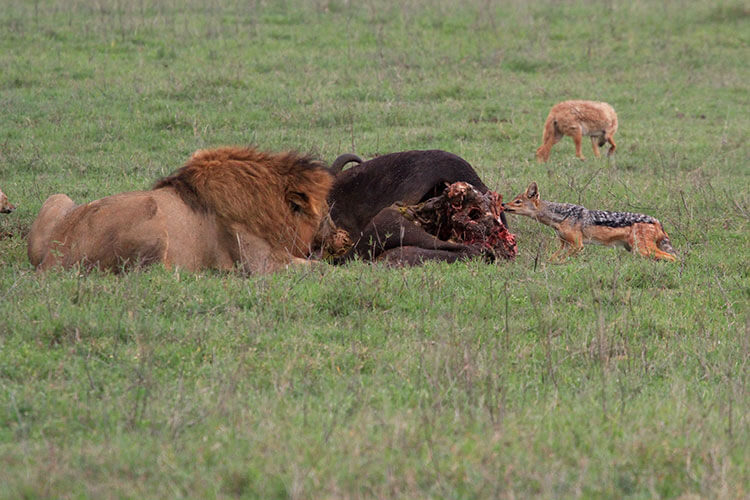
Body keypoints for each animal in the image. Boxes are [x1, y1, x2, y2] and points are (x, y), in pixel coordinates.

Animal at [27, 146, 332, 276]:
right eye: (322, 214)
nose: (332, 237)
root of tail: (53, 260)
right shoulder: (261, 262)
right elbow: (321, 269)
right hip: (151, 214)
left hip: (58, 199)